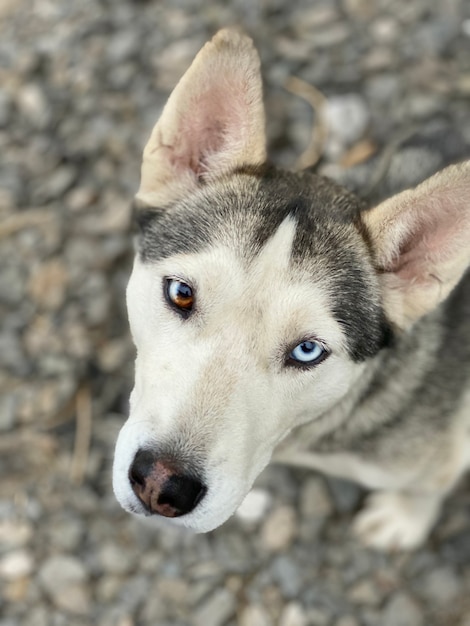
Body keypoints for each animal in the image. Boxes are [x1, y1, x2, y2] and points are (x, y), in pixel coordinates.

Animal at [114, 29, 470, 544]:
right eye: (181, 293)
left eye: (308, 351)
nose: (161, 484)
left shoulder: (435, 456)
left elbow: (427, 486)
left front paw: (404, 518)